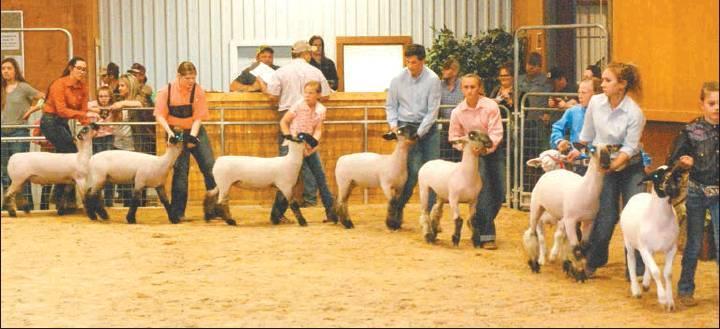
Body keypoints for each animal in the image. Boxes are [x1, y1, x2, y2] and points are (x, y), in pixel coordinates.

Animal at [524, 142, 608, 278]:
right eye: (540, 157)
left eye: (557, 155)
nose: (545, 163)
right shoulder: (540, 221)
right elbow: (541, 239)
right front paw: (541, 259)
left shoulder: (564, 220)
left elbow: (559, 236)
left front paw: (553, 255)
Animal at [620, 165, 688, 312]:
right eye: (656, 176)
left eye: (674, 173)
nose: (672, 187)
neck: (660, 221)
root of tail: (639, 195)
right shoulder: (644, 248)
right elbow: (656, 271)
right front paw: (662, 298)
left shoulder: (672, 248)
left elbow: (667, 274)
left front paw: (670, 302)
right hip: (629, 242)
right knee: (631, 260)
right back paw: (636, 289)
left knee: (647, 263)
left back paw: (645, 283)